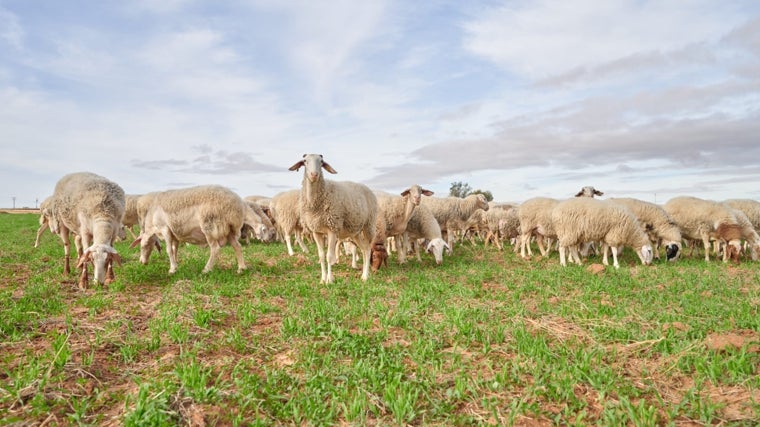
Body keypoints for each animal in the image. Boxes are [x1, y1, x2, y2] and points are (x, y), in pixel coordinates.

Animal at [286, 154, 378, 284]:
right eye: (305, 161)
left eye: (321, 162)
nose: (314, 174)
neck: (315, 203)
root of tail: (367, 188)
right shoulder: (316, 231)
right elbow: (321, 256)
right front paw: (322, 279)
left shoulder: (332, 228)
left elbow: (329, 256)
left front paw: (330, 280)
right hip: (355, 231)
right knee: (364, 249)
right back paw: (364, 275)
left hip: (369, 225)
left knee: (369, 249)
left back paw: (366, 275)